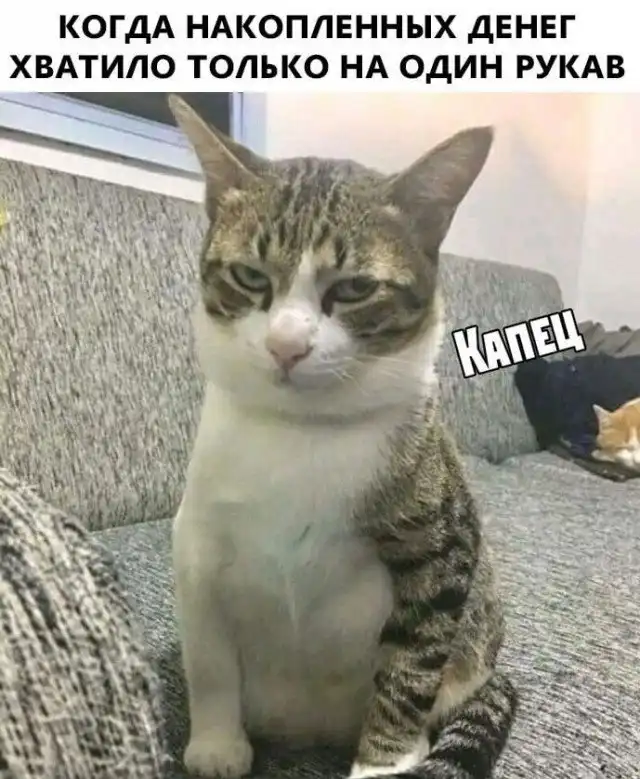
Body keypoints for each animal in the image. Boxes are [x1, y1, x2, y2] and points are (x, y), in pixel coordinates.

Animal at [168, 94, 518, 779]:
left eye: (354, 288)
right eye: (250, 276)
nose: (286, 345)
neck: (302, 431)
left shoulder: (443, 549)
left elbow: (410, 665)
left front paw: (383, 761)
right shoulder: (196, 540)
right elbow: (210, 657)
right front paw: (217, 744)